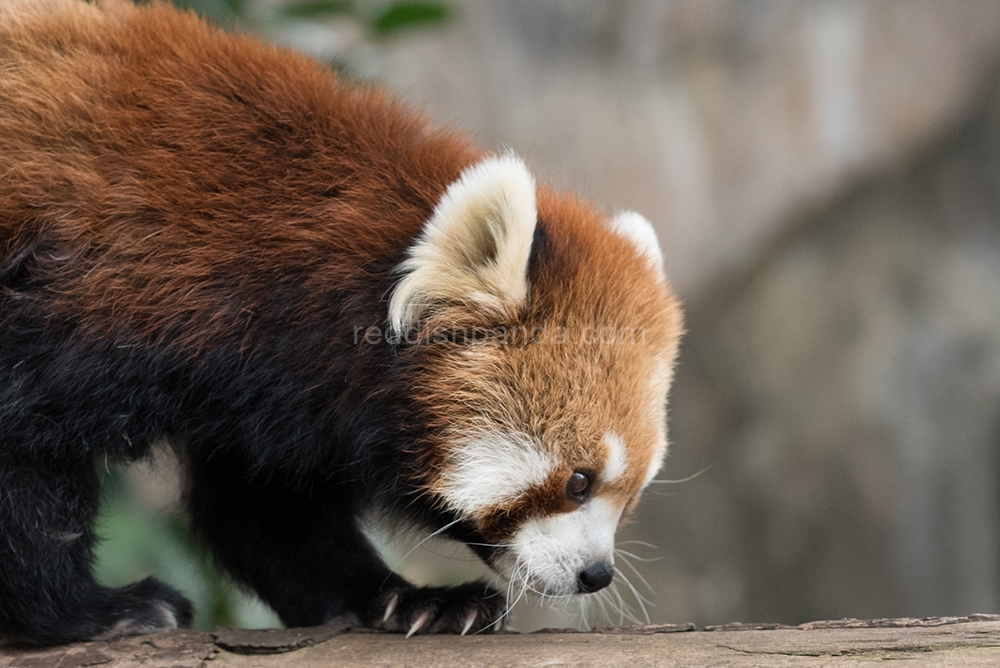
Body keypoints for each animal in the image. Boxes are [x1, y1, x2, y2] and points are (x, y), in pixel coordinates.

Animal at [0, 0, 680, 648]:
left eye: (633, 493)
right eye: (578, 482)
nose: (596, 574)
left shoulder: (264, 393)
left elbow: (266, 509)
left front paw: (409, 600)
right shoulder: (97, 290)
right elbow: (25, 455)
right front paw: (89, 613)